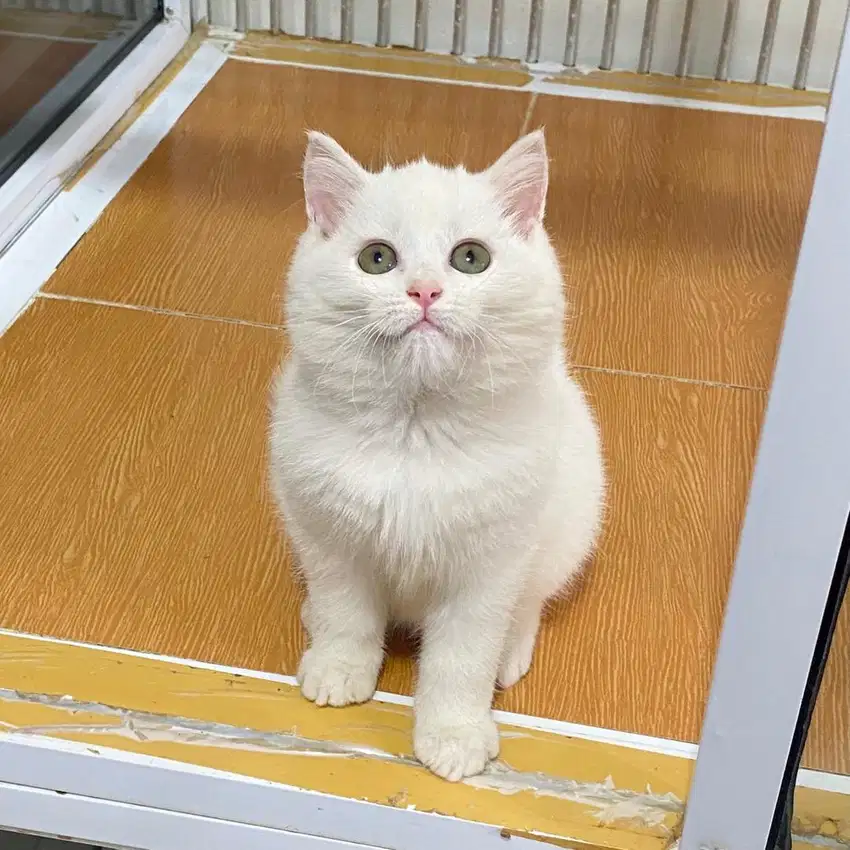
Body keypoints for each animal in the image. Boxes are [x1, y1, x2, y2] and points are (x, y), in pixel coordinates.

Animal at [268, 129, 608, 780]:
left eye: (470, 257)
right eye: (376, 258)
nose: (424, 290)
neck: (416, 431)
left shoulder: (489, 566)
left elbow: (462, 658)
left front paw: (454, 737)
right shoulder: (328, 536)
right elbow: (347, 610)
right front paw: (339, 668)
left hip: (568, 522)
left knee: (532, 601)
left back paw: (511, 652)